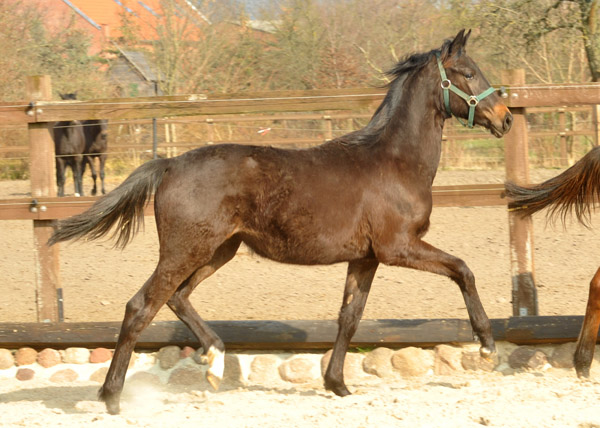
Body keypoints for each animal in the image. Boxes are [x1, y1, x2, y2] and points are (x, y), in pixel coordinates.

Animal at [49, 29, 512, 412]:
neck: (394, 162)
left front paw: (337, 384)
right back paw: (112, 397)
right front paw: (487, 346)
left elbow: (349, 317)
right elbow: (463, 270)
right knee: (141, 306)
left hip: (219, 250)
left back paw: (215, 361)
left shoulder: (366, 258)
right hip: (186, 250)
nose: (505, 118)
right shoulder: (398, 246)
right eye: (468, 72)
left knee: (177, 298)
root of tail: (170, 164)